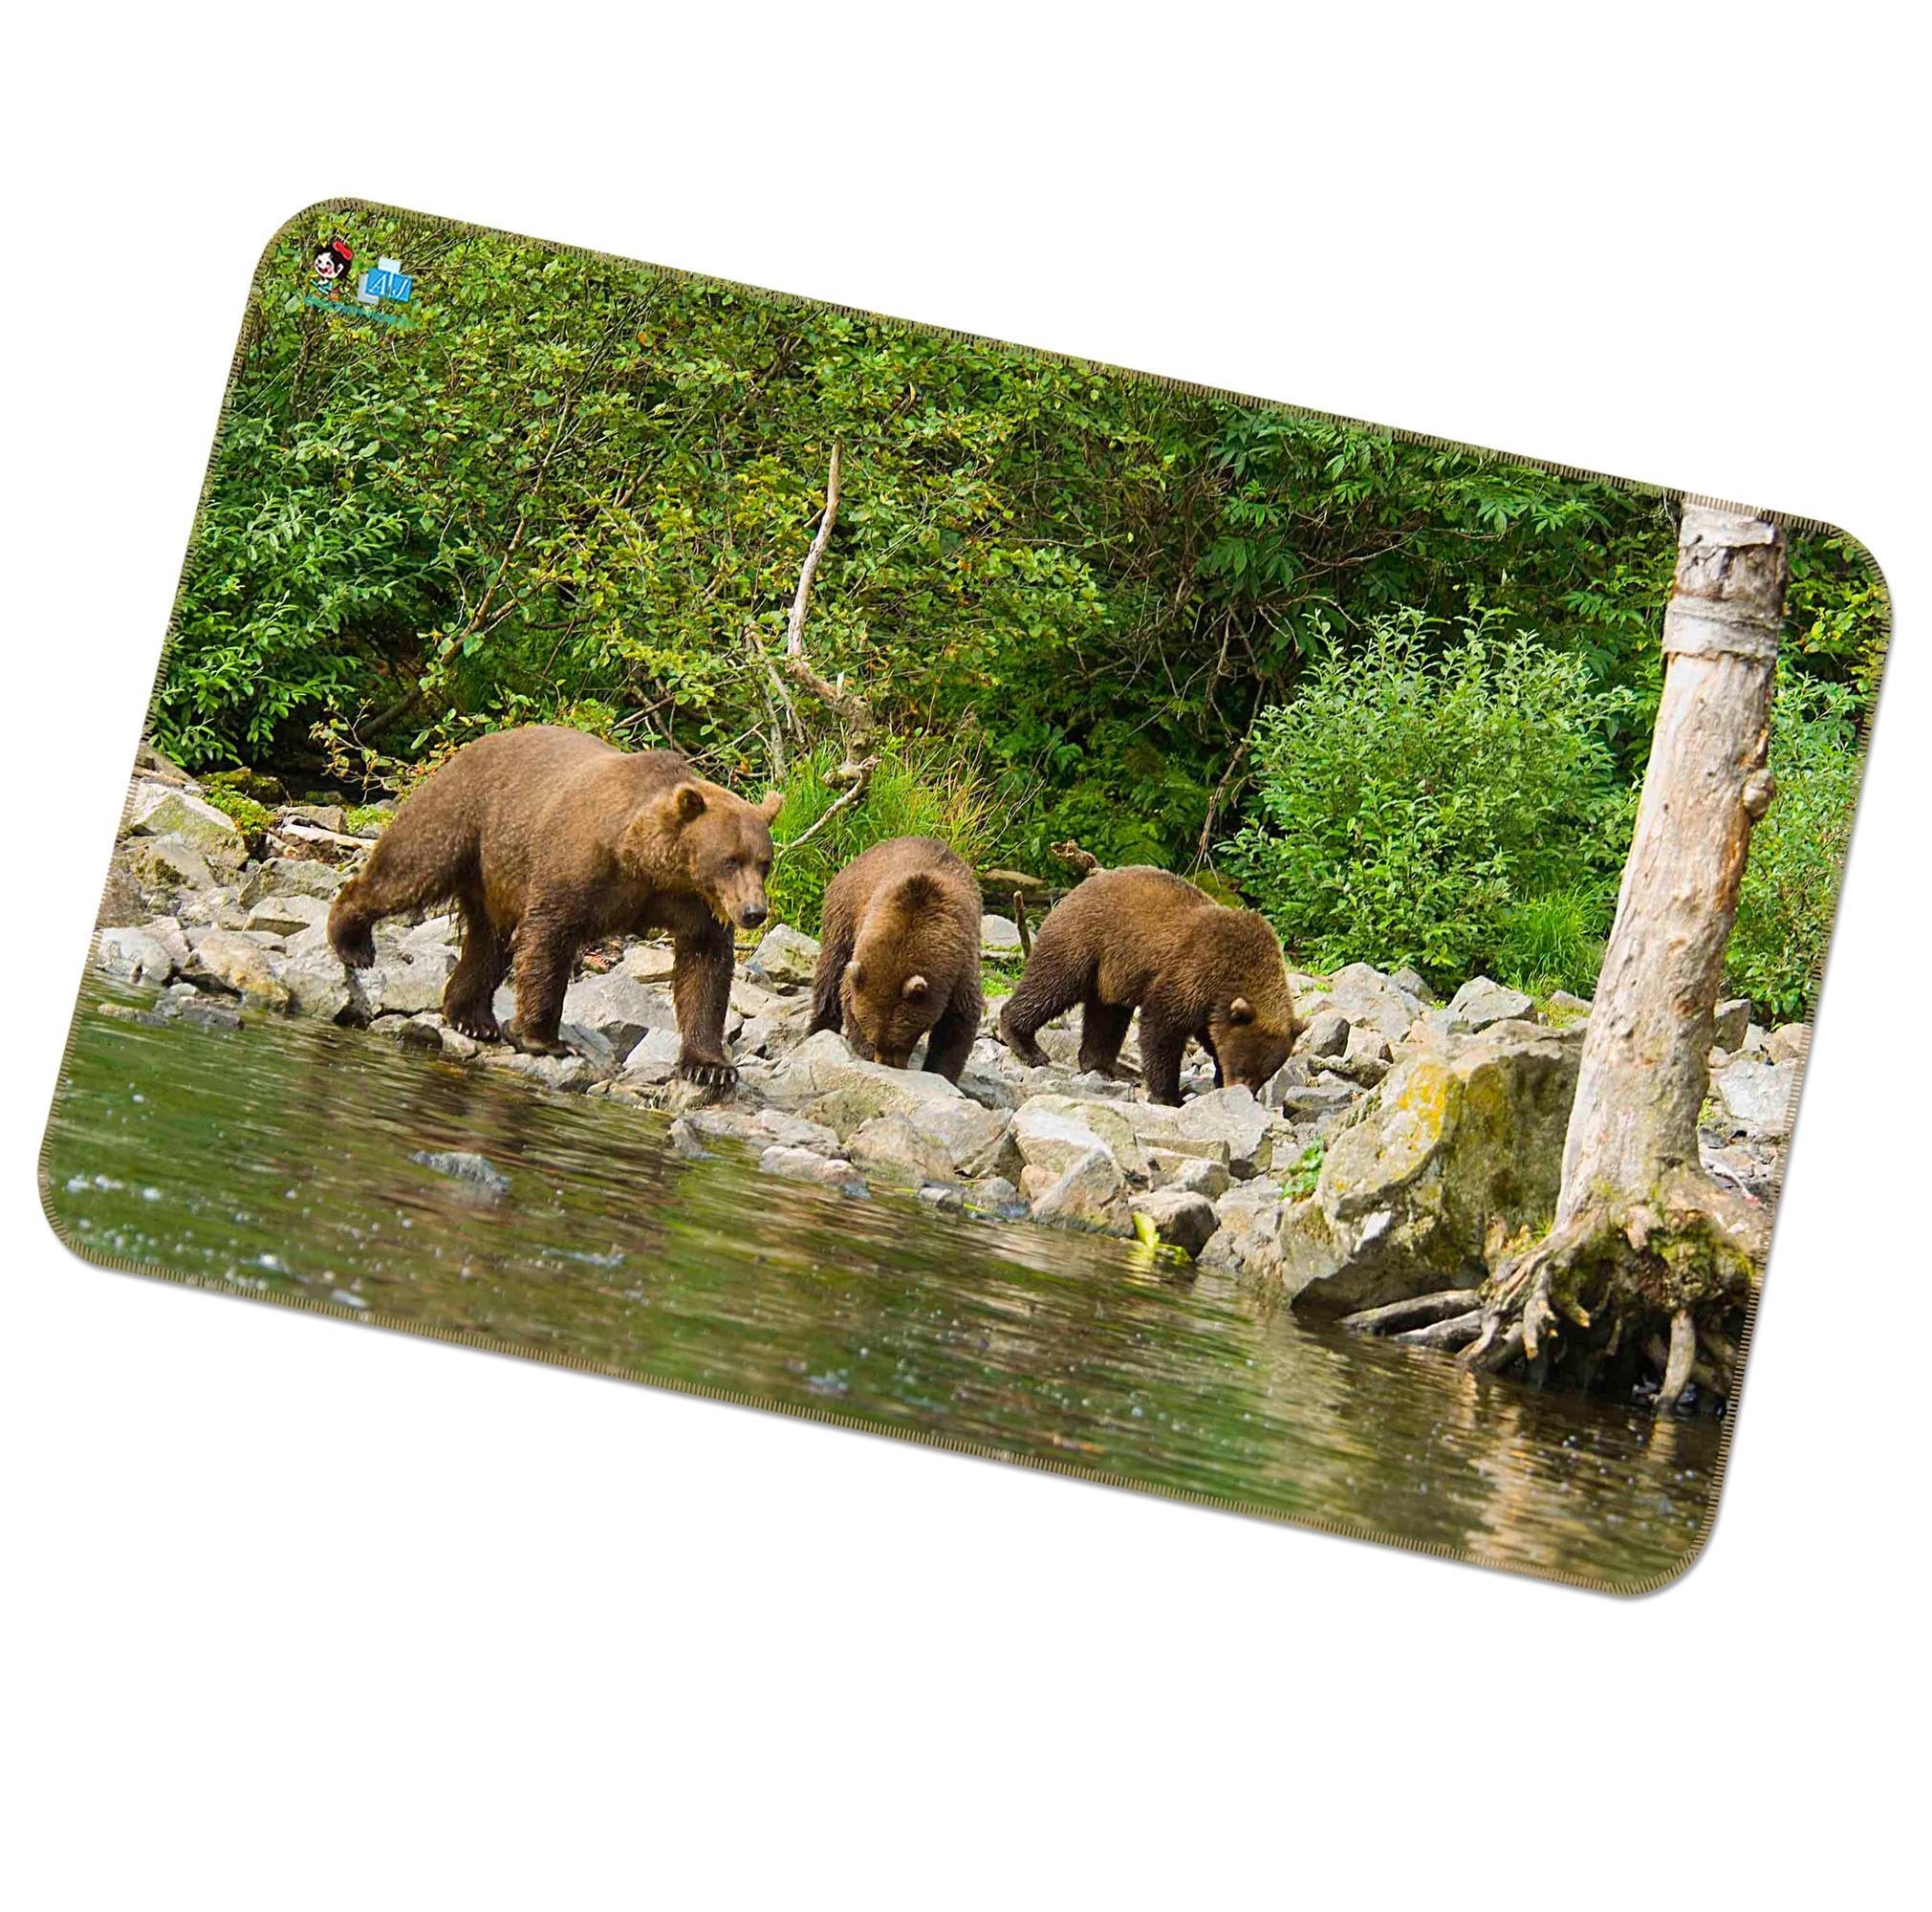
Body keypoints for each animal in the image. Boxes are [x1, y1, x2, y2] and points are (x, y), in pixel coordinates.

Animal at [325, 724, 782, 1087]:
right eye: (730, 859)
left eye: (764, 862)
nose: (753, 913)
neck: (646, 863)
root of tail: (475, 746)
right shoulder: (580, 866)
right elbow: (549, 937)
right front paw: (545, 1038)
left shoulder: (695, 904)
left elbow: (704, 967)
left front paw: (711, 1066)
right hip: (463, 817)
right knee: (408, 870)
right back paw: (353, 942)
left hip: (496, 869)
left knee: (490, 942)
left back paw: (472, 1018)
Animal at [808, 836, 984, 1080]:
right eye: (876, 1039)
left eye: (900, 1040)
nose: (887, 1063)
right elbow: (846, 993)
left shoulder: (960, 967)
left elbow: (957, 1024)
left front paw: (940, 1071)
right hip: (843, 914)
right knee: (831, 969)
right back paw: (818, 1027)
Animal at [998, 865, 1297, 1106]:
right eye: (1243, 1069)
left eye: (1264, 1074)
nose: (1245, 1092)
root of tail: (1073, 892)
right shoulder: (1192, 971)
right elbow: (1162, 1028)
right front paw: (1169, 1095)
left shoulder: (1211, 1003)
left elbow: (1207, 1035)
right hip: (1084, 942)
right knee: (1051, 986)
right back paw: (1028, 1047)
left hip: (1111, 975)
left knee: (1106, 1015)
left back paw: (1105, 1067)